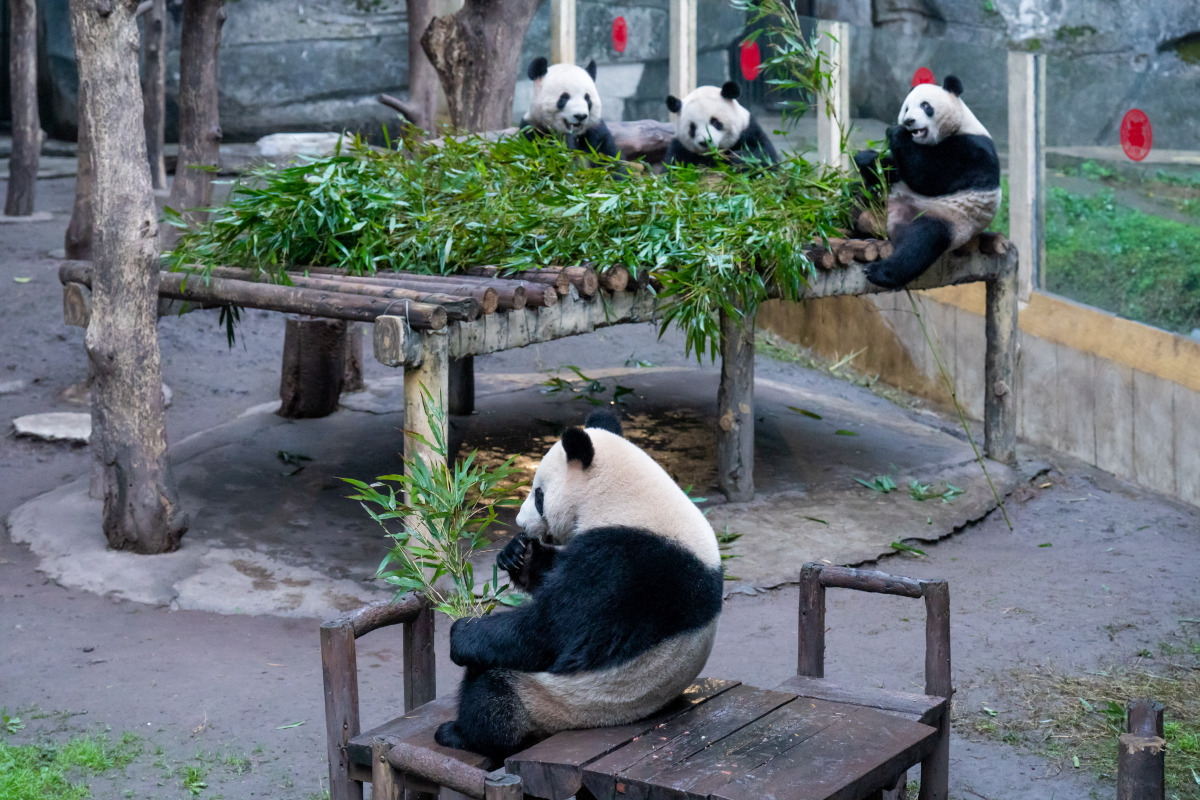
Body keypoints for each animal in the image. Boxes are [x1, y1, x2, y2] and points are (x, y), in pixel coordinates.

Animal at [436, 410, 724, 762]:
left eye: (539, 495)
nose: (519, 523)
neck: (625, 499)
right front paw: (518, 554)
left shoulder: (624, 564)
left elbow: (551, 631)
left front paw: (462, 632)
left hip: (560, 700)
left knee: (493, 693)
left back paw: (461, 734)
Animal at [854, 74, 1003, 291]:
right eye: (906, 108)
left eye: (925, 106)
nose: (909, 121)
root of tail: (891, 224)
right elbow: (897, 170)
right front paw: (866, 158)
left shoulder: (973, 151)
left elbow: (929, 177)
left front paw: (896, 132)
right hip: (877, 202)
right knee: (856, 199)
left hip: (947, 220)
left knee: (920, 244)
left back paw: (879, 272)